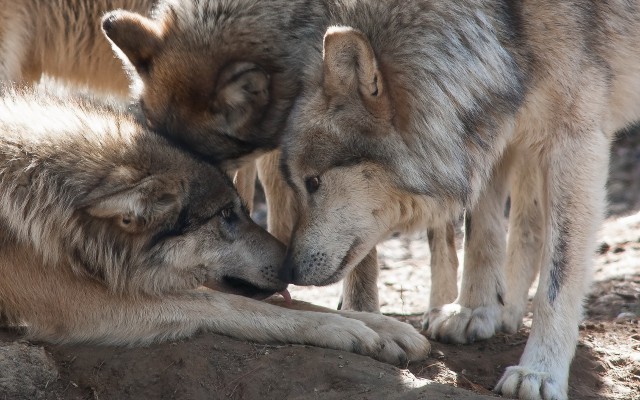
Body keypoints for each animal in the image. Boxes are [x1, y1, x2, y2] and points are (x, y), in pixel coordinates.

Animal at [0, 88, 430, 366]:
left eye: (241, 210)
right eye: (225, 215)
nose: (293, 267)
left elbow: (275, 301)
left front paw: (385, 328)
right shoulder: (80, 303)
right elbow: (232, 304)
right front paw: (340, 328)